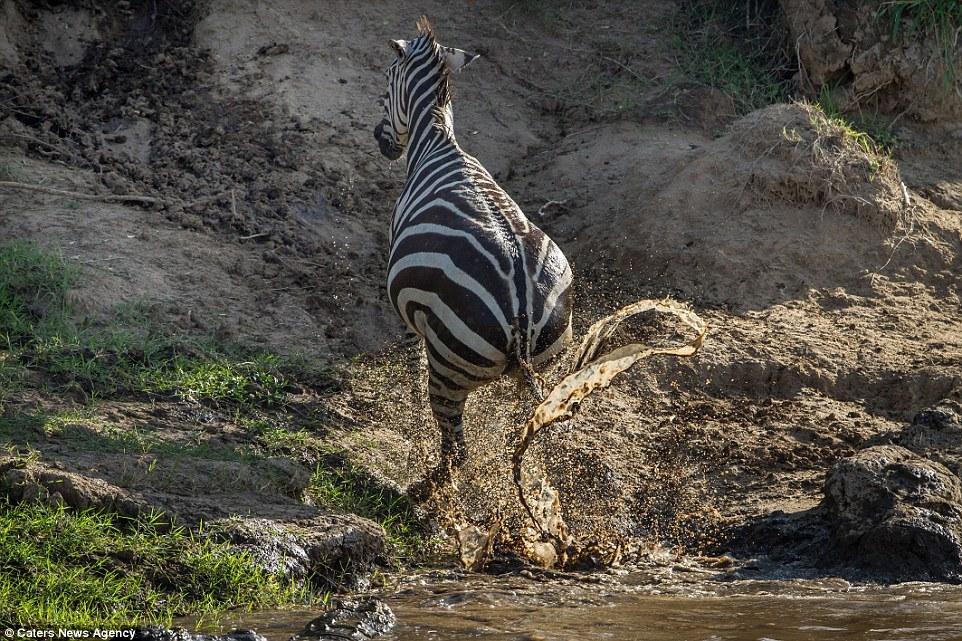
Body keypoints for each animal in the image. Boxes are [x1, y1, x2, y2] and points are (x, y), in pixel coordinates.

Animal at [374, 15, 568, 496]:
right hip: (547, 367)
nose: (381, 142)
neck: (437, 141)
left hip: (448, 364)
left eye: (385, 83)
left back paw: (422, 490)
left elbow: (410, 351)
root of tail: (520, 308)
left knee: (457, 450)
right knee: (520, 440)